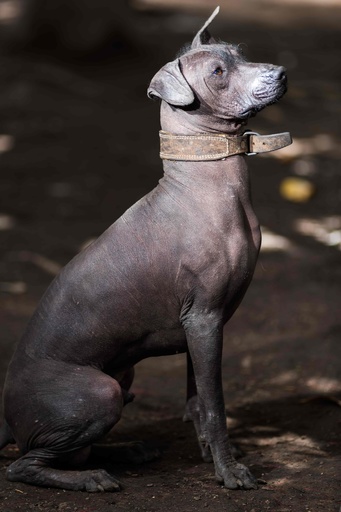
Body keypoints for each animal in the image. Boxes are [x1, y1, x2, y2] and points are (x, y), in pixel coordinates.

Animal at [0, 7, 290, 492]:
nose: (282, 73)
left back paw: (131, 451)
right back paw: (93, 479)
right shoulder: (205, 319)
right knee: (24, 465)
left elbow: (197, 401)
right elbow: (215, 406)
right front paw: (229, 472)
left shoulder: (202, 326)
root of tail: (7, 418)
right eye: (218, 72)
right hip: (102, 392)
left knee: (75, 451)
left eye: (240, 52)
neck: (206, 186)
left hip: (124, 376)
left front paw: (210, 457)